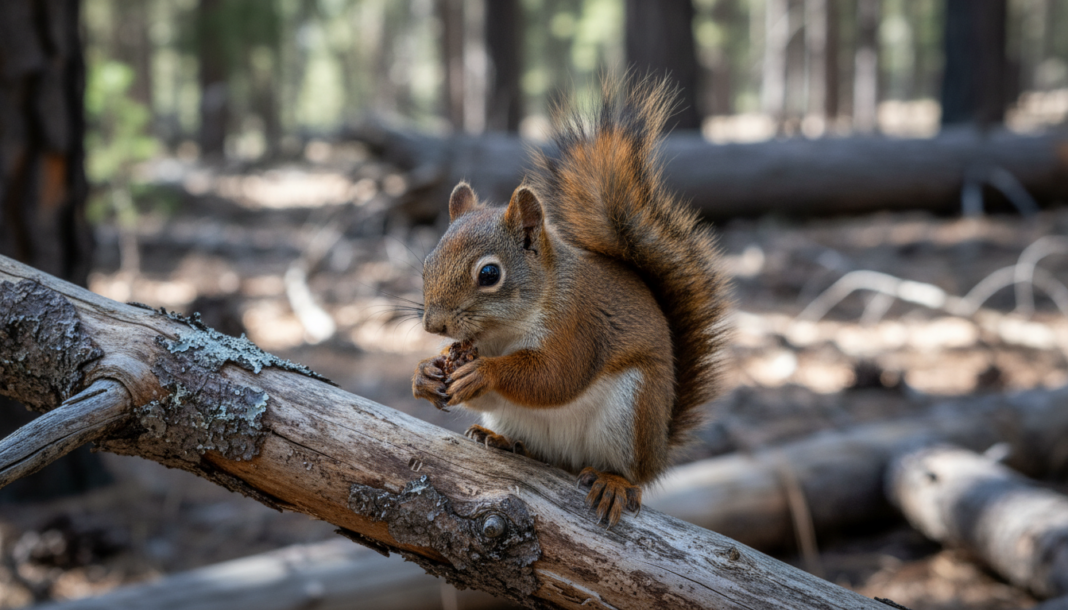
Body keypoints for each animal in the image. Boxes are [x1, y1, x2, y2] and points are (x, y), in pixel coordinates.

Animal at [412, 78, 729, 527]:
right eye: (427, 262)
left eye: (489, 274)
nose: (433, 325)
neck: (502, 334)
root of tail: (658, 450)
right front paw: (425, 373)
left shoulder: (578, 326)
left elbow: (554, 377)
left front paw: (484, 372)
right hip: (522, 420)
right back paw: (501, 439)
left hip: (632, 410)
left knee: (630, 474)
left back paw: (614, 483)